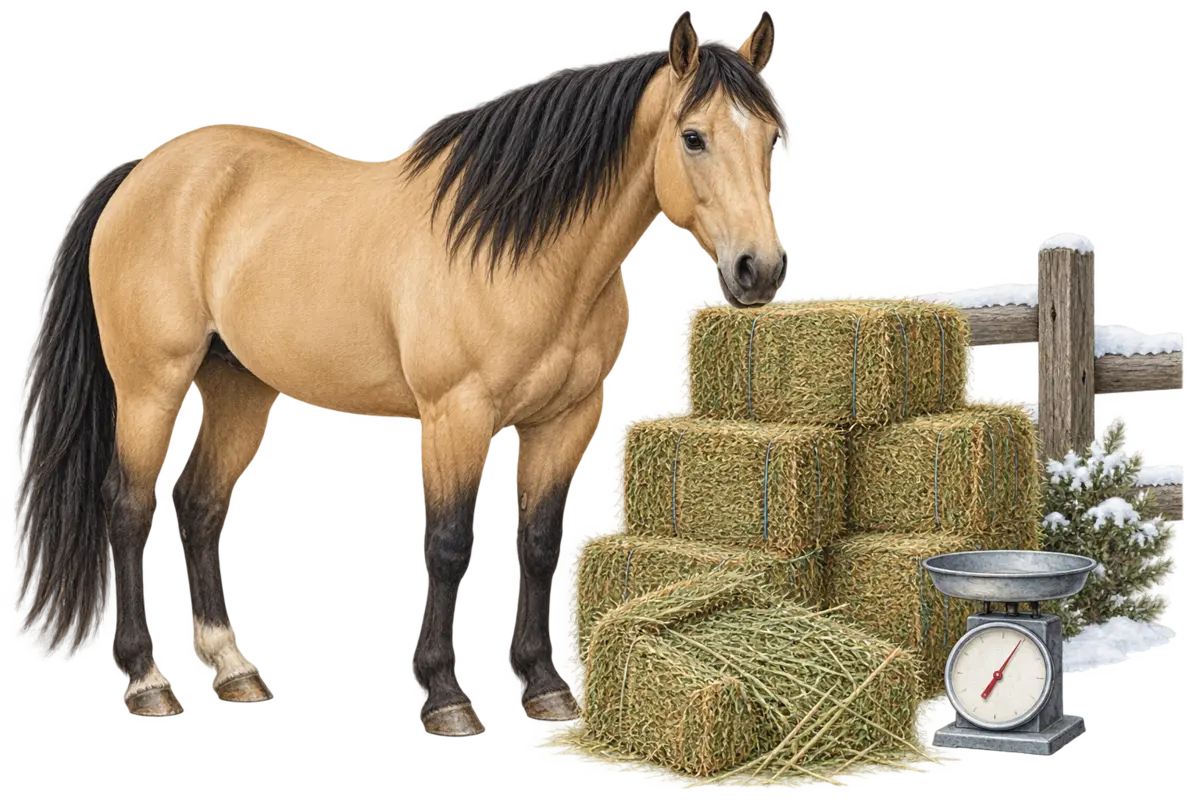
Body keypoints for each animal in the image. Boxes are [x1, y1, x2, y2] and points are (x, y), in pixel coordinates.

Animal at [17, 11, 787, 736]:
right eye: (693, 137)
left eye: (771, 138)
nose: (761, 269)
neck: (522, 253)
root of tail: (145, 171)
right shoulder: (457, 416)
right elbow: (449, 545)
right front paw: (447, 697)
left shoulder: (568, 421)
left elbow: (539, 546)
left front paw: (545, 687)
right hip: (149, 387)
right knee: (127, 507)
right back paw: (147, 684)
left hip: (242, 388)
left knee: (200, 505)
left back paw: (235, 672)